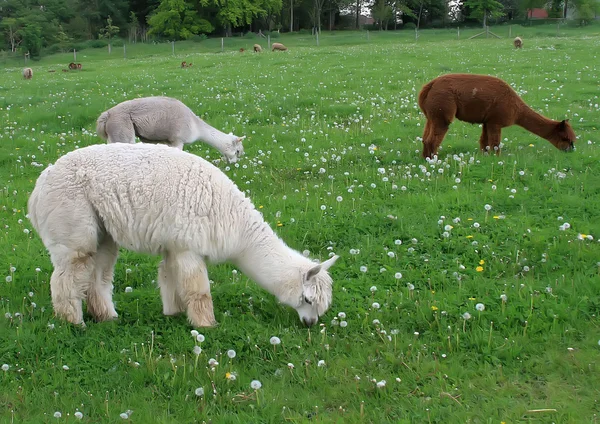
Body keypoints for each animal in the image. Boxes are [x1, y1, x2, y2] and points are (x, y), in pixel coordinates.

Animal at [27, 142, 338, 328]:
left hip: (103, 232)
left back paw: (107, 317)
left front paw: (173, 313)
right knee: (67, 277)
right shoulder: (189, 245)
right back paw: (73, 322)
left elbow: (168, 279)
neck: (233, 220)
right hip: (72, 222)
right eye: (308, 300)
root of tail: (39, 186)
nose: (310, 324)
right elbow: (198, 290)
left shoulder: (173, 244)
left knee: (99, 275)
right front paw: (206, 325)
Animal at [96, 97, 246, 163]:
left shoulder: (165, 141)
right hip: (122, 130)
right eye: (238, 151)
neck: (195, 126)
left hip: (113, 136)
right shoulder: (178, 139)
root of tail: (107, 115)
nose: (234, 163)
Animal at [418, 73, 576, 159]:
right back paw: (434, 160)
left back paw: (425, 158)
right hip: (442, 108)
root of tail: (429, 86)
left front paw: (484, 157)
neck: (516, 109)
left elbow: (484, 142)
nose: (570, 151)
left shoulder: (487, 120)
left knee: (425, 138)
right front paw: (497, 159)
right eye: (566, 139)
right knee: (433, 139)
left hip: (432, 115)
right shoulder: (496, 121)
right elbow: (495, 144)